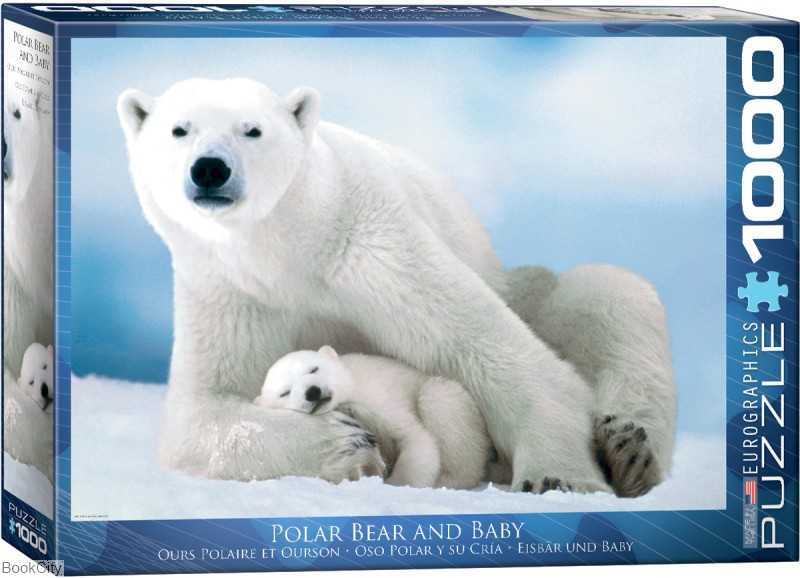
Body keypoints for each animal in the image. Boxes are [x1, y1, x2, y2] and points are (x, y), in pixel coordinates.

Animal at [257, 346, 492, 490]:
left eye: (313, 368)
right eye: (285, 392)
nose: (312, 392)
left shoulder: (379, 398)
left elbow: (416, 439)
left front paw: (399, 483)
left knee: (438, 397)